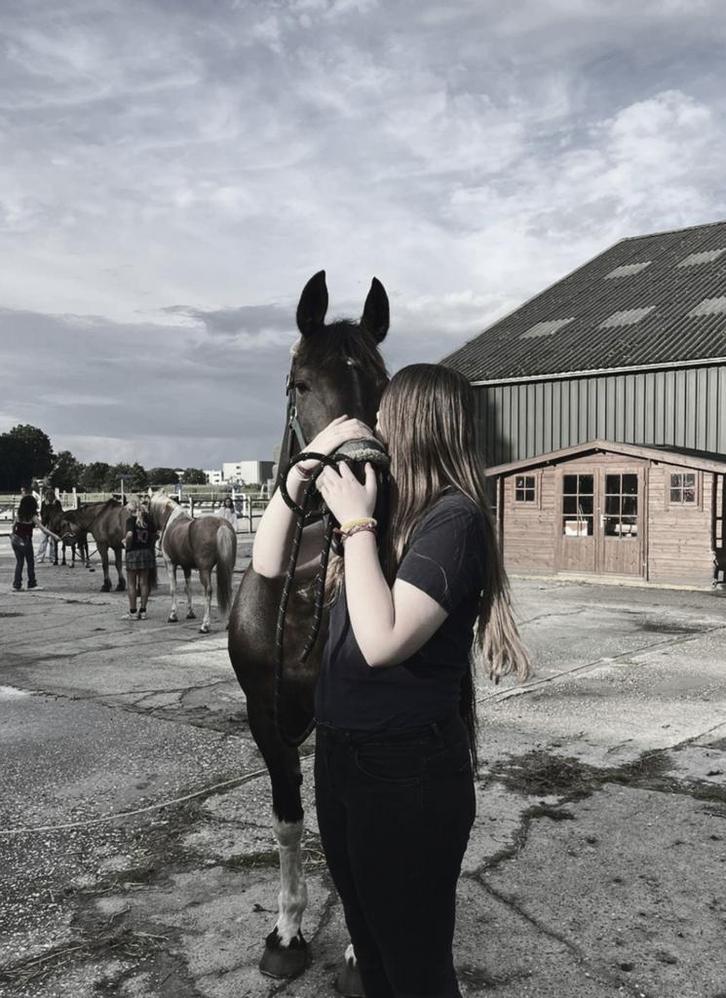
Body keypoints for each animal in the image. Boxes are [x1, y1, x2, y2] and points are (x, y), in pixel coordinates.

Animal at [148, 493, 237, 633]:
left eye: (146, 506)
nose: (140, 523)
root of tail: (221, 524)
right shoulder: (186, 567)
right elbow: (188, 588)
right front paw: (190, 613)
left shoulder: (170, 564)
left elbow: (173, 589)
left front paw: (173, 615)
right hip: (228, 567)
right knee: (228, 588)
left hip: (204, 570)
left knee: (208, 591)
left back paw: (205, 625)